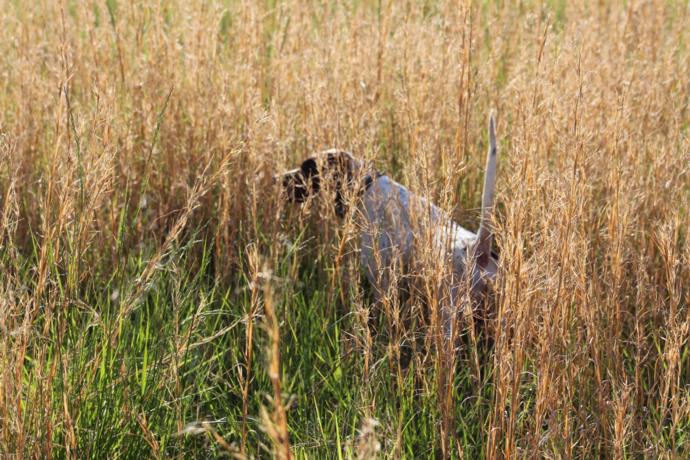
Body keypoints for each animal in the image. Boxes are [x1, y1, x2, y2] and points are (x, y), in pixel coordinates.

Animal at [276, 115, 498, 338]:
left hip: (448, 313)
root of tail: (478, 248)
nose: (276, 179)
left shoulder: (379, 279)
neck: (365, 187)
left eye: (306, 168)